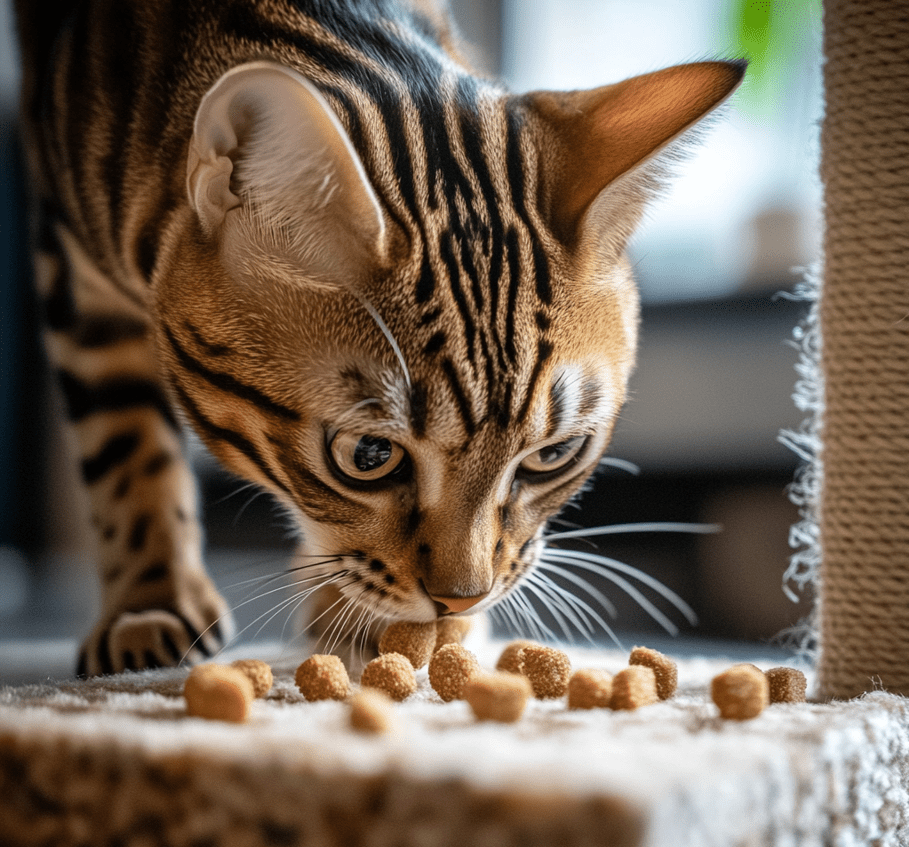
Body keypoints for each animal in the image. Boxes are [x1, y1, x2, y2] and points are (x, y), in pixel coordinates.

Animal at [15, 0, 744, 676]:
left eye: (554, 454)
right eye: (368, 456)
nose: (461, 598)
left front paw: (364, 616)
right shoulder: (76, 271)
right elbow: (126, 448)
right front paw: (150, 603)